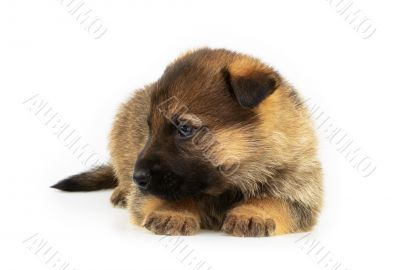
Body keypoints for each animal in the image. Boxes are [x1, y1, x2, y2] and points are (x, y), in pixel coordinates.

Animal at [52, 48, 322, 236]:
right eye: (149, 128)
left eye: (185, 129)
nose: (137, 178)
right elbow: (171, 193)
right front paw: (174, 212)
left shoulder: (301, 191)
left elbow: (275, 199)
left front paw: (254, 212)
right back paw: (121, 190)